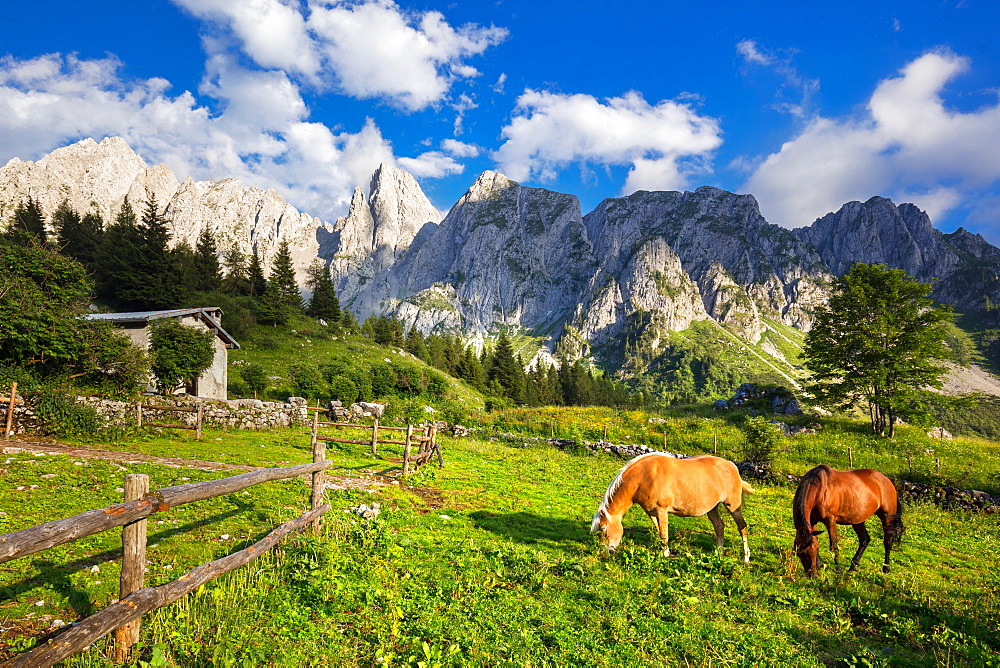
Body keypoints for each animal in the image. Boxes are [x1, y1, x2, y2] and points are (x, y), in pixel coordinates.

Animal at [592, 454, 752, 560]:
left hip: (733, 506)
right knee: (719, 527)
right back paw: (718, 554)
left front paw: (665, 555)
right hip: (712, 508)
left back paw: (746, 558)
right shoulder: (651, 512)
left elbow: (664, 534)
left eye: (604, 528)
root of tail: (731, 466)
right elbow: (660, 532)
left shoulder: (661, 510)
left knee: (742, 527)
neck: (645, 476)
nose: (605, 553)